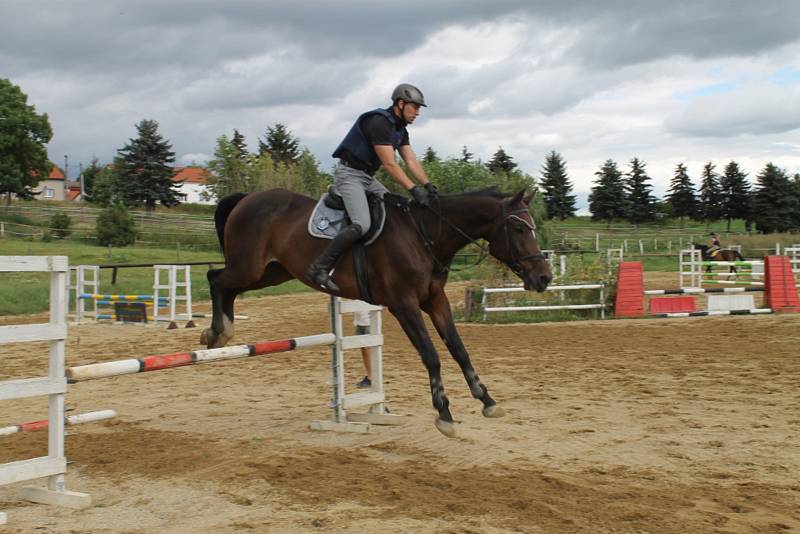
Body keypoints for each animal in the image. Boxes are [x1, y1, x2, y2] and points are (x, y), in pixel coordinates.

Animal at [202, 189, 552, 440]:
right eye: (518, 227)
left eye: (533, 228)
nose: (544, 278)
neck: (426, 236)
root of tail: (247, 198)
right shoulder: (403, 304)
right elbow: (431, 355)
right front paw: (444, 414)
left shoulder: (435, 300)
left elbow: (458, 349)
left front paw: (487, 400)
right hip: (249, 267)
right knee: (216, 279)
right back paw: (217, 332)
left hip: (272, 272)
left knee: (225, 285)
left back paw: (220, 333)